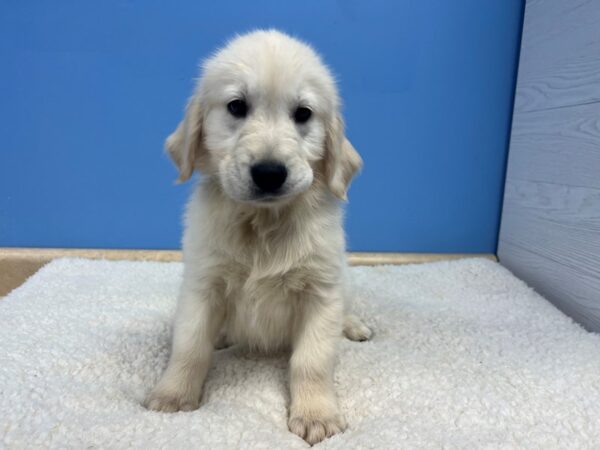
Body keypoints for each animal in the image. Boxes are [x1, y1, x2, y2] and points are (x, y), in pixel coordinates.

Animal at [145, 29, 370, 444]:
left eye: (303, 114)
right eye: (237, 106)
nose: (269, 173)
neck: (263, 223)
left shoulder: (321, 291)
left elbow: (312, 360)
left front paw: (316, 414)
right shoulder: (203, 283)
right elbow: (190, 345)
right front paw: (173, 395)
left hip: (343, 283)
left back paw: (353, 325)